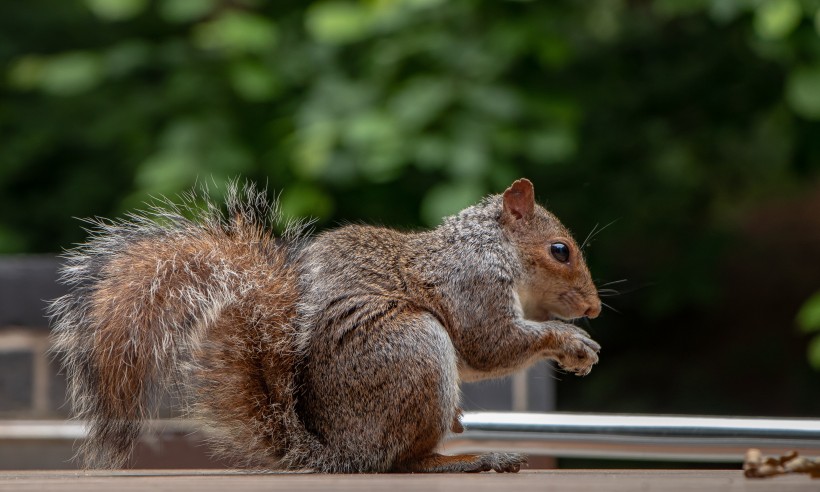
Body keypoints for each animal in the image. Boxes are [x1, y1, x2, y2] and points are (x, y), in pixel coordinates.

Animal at [49, 178, 604, 472]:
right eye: (560, 250)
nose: (594, 309)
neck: (491, 247)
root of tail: (343, 451)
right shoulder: (472, 283)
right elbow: (490, 345)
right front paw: (573, 342)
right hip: (414, 346)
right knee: (403, 462)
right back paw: (469, 459)